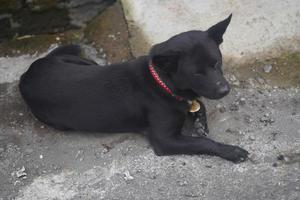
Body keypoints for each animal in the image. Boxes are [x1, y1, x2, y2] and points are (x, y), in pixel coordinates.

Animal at [18, 15, 248, 162]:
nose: (225, 90)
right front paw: (232, 151)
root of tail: (27, 74)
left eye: (217, 63)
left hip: (85, 63)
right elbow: (204, 143)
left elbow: (198, 105)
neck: (162, 82)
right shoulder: (166, 141)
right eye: (197, 74)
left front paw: (199, 119)